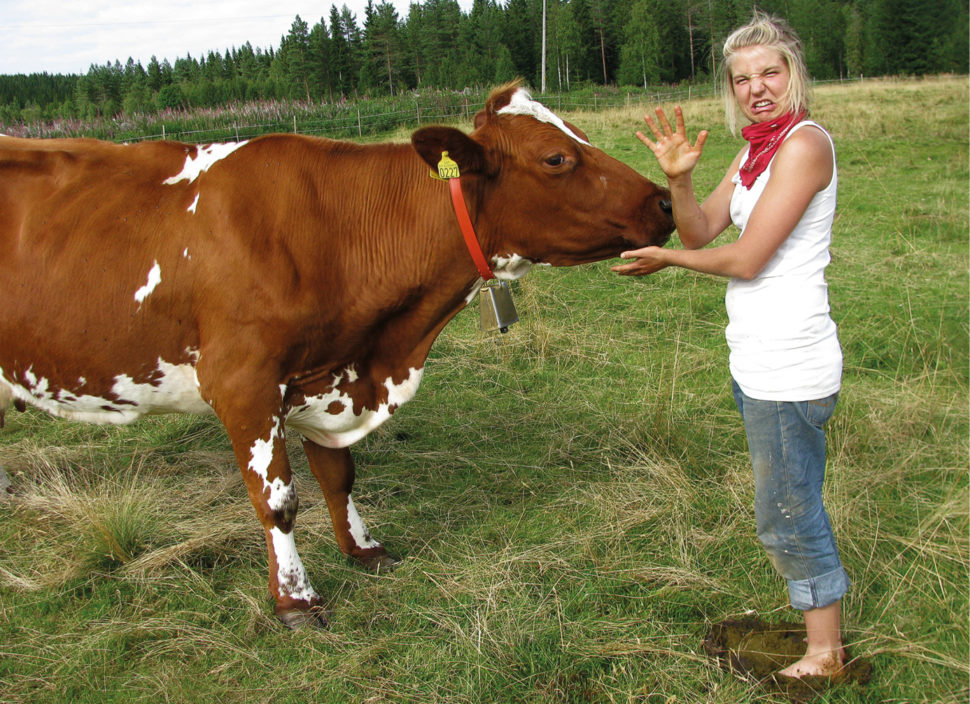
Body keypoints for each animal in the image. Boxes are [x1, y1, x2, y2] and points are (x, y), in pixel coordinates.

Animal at [0, 81, 672, 628]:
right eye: (556, 158)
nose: (664, 202)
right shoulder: (243, 384)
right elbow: (278, 501)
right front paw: (295, 599)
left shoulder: (329, 375)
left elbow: (337, 475)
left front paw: (362, 548)